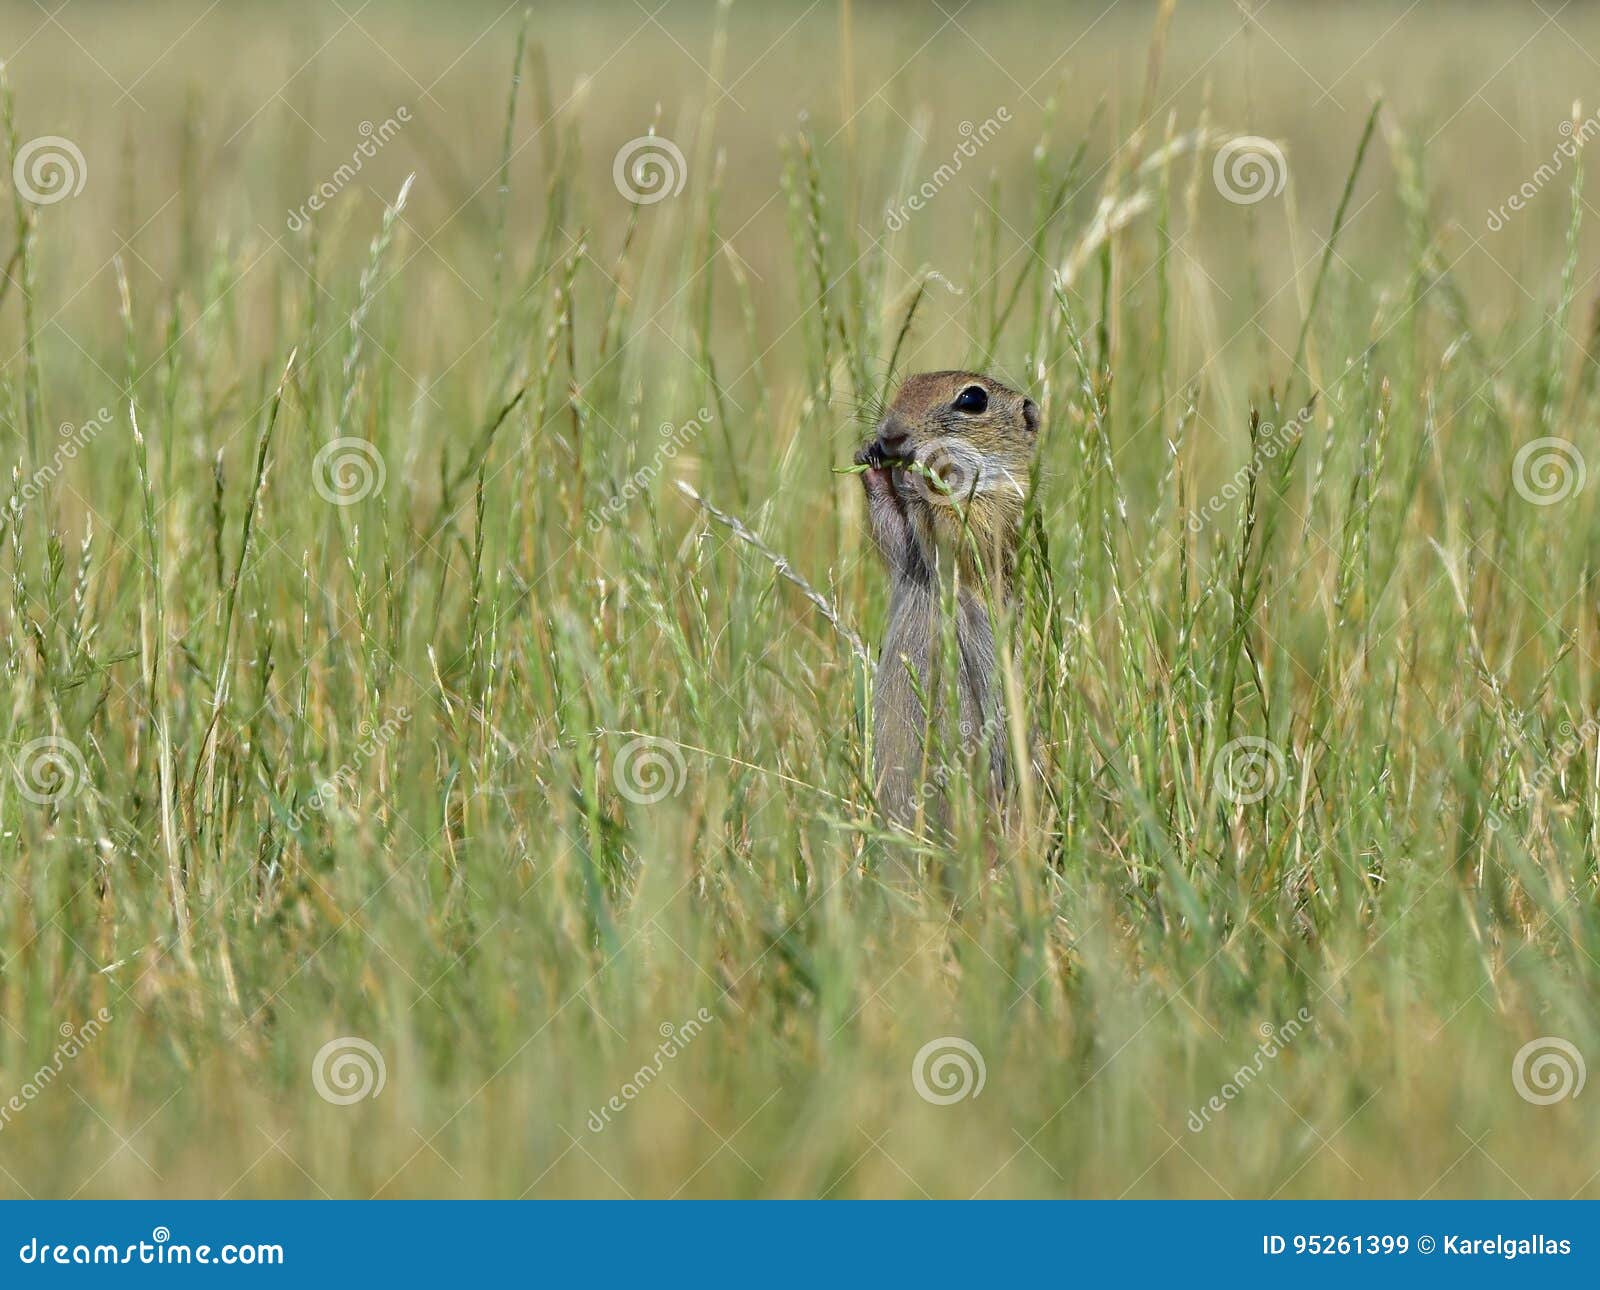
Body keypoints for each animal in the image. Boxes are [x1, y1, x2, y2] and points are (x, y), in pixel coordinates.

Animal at [857, 366, 1043, 825]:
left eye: (972, 400)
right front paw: (873, 464)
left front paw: (920, 470)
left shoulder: (998, 510)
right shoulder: (908, 556)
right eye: (905, 385)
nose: (889, 435)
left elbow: (959, 531)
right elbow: (894, 534)